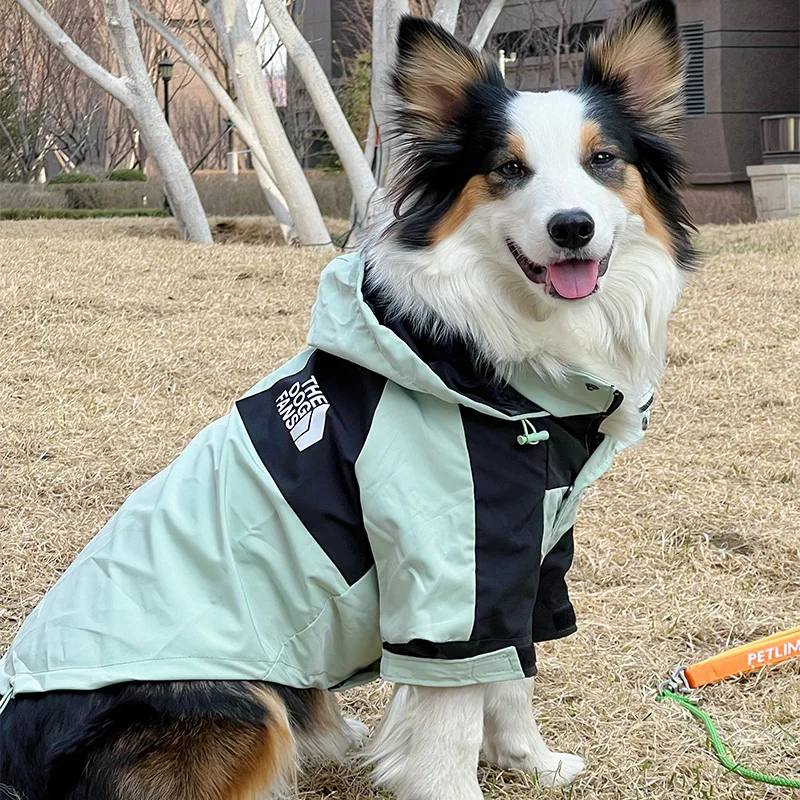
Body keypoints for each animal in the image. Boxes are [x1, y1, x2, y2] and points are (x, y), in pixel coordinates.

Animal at [0, 1, 692, 800]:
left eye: (602, 160)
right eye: (509, 170)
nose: (572, 226)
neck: (486, 351)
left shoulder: (527, 559)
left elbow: (513, 678)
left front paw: (533, 762)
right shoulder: (450, 576)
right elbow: (455, 722)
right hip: (244, 699)